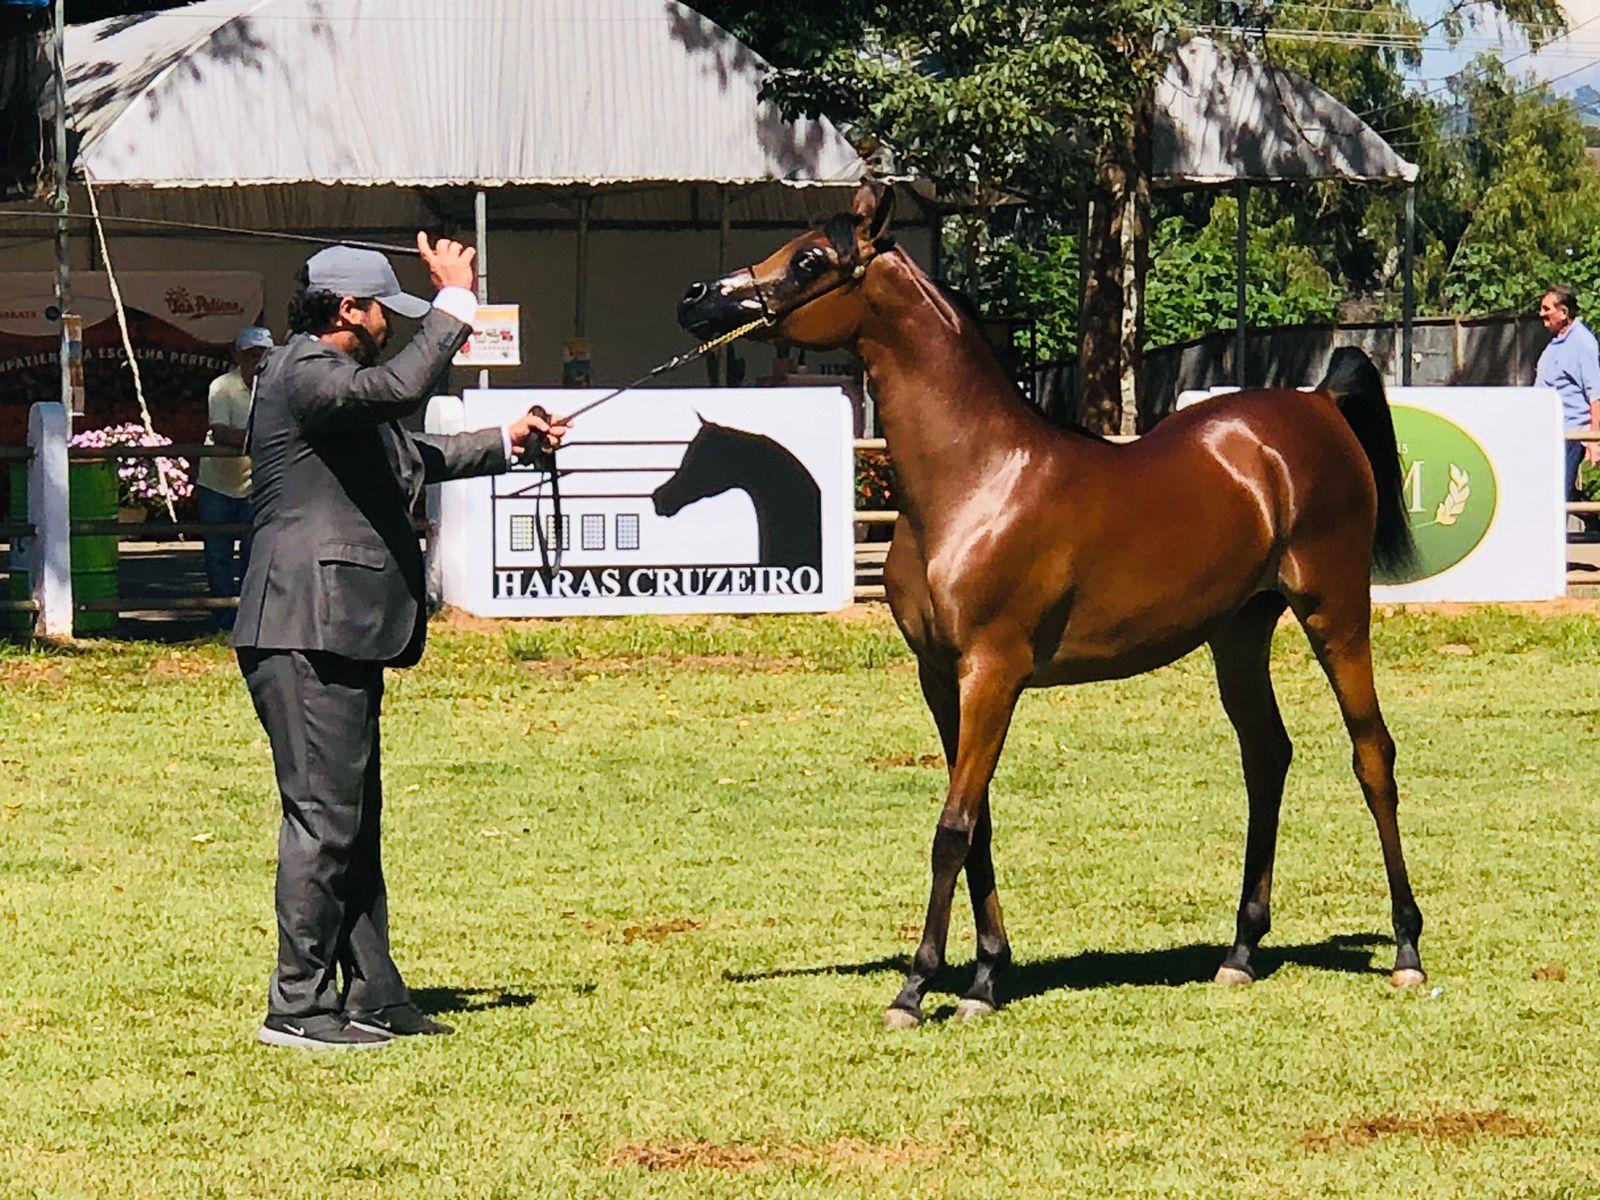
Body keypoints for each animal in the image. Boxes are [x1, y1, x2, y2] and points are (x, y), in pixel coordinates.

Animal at [675, 183, 1427, 1030]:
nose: (698, 298)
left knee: (1373, 755)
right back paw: (1238, 953)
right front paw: (984, 976)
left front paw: (917, 989)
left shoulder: (992, 674)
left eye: (808, 260)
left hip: (1335, 610)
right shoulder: (942, 679)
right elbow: (979, 823)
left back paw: (1406, 950)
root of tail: (1318, 407)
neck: (978, 479)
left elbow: (952, 828)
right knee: (1266, 757)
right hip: (1239, 632)